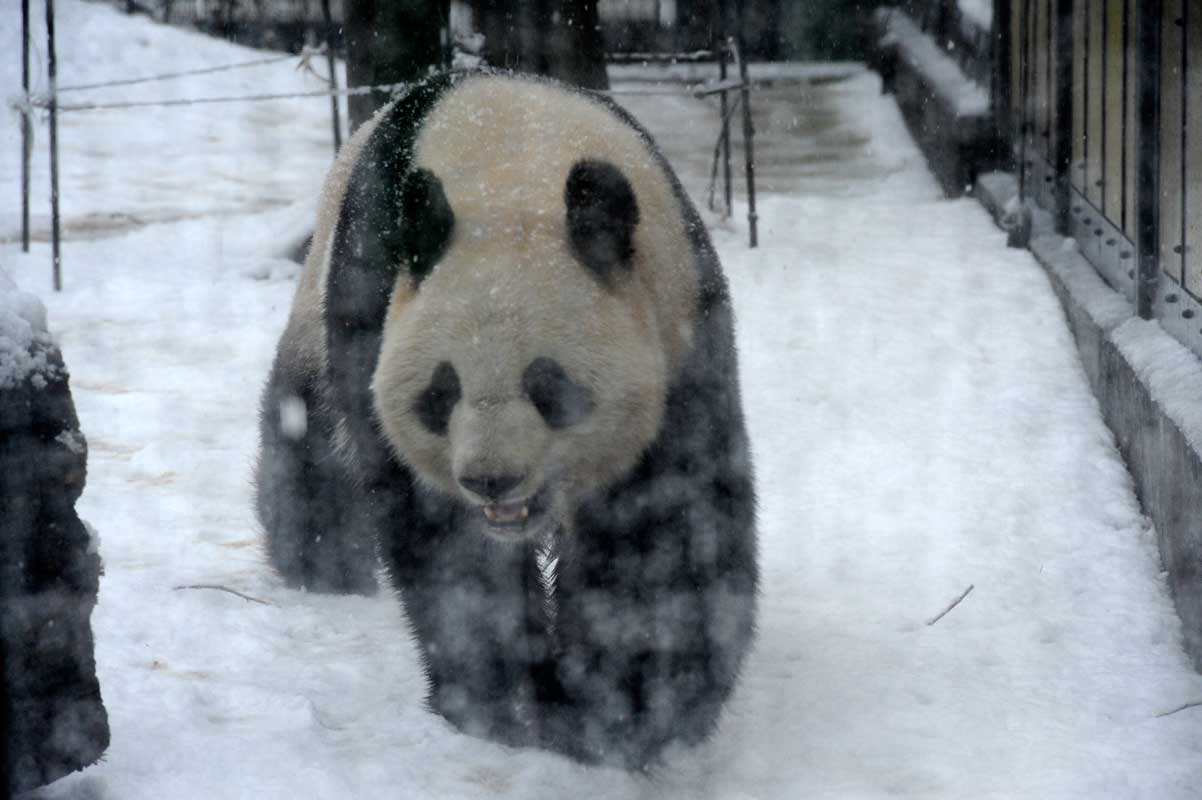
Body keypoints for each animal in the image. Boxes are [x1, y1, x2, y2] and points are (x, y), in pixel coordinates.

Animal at [256, 68, 759, 768]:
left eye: (550, 386)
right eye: (441, 392)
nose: (491, 481)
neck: (513, 171)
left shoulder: (681, 325)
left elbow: (665, 531)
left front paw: (627, 706)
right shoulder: (374, 291)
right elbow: (445, 539)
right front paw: (508, 703)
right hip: (321, 290)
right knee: (309, 429)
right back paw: (320, 564)